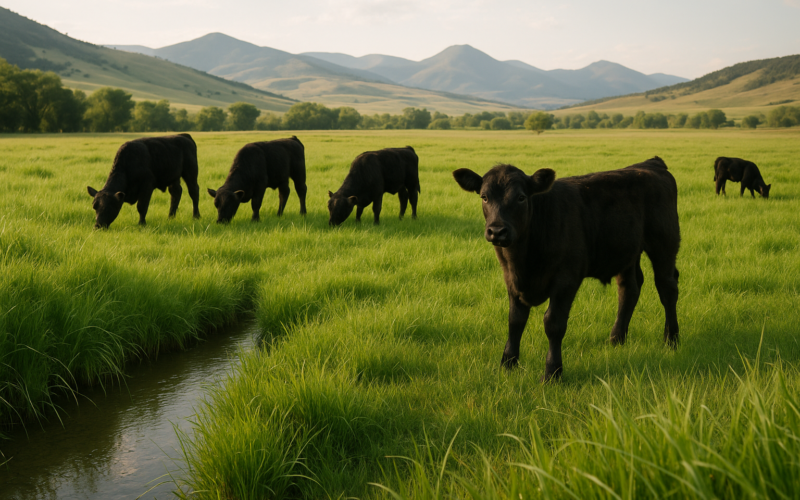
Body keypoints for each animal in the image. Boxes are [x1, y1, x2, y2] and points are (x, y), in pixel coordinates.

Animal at [453, 157, 681, 382]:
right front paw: (508, 364)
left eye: (521, 197)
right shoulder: (511, 279)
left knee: (667, 287)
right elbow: (515, 320)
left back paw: (671, 340)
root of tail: (651, 163)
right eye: (484, 197)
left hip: (665, 243)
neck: (523, 259)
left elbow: (553, 323)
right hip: (627, 251)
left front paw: (552, 372)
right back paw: (616, 339)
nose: (497, 231)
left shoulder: (566, 279)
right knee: (629, 289)